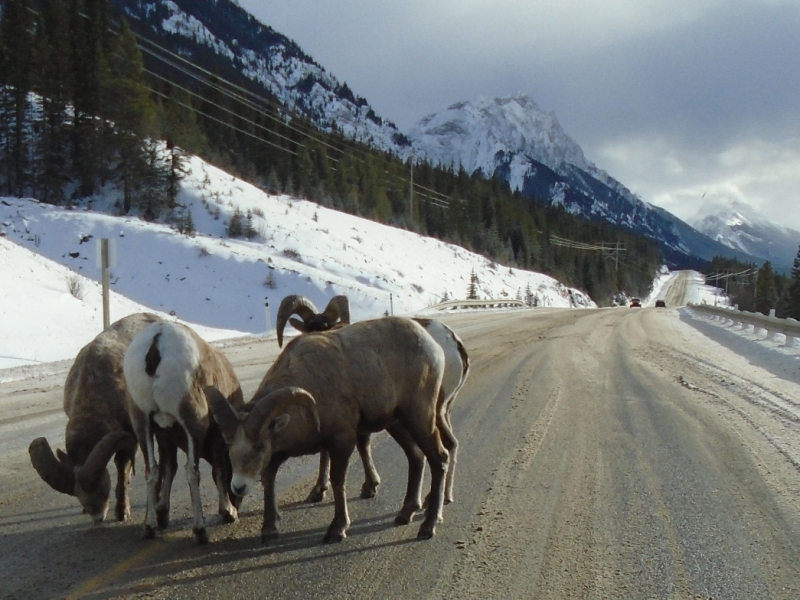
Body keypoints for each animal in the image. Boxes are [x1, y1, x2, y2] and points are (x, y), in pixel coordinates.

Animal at [123, 321, 244, 544]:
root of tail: (157, 341)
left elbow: (169, 468)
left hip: (142, 423)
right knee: (192, 472)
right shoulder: (216, 435)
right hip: (193, 423)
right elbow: (219, 470)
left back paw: (150, 527)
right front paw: (228, 512)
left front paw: (162, 513)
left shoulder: (164, 435)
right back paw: (200, 531)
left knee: (152, 470)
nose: (237, 501)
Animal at [205, 316, 451, 543]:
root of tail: (433, 346)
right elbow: (269, 480)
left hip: (420, 416)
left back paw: (428, 526)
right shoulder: (277, 456)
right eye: (229, 446)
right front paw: (269, 530)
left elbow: (336, 480)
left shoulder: (342, 441)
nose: (238, 487)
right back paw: (405, 514)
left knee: (439, 457)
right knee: (416, 457)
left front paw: (337, 530)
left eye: (259, 445)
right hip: (397, 423)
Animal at [276, 294, 469, 504]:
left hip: (430, 409)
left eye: (326, 326)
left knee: (447, 445)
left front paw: (323, 490)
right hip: (442, 410)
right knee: (452, 444)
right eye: (309, 327)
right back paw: (443, 496)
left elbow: (344, 449)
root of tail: (453, 342)